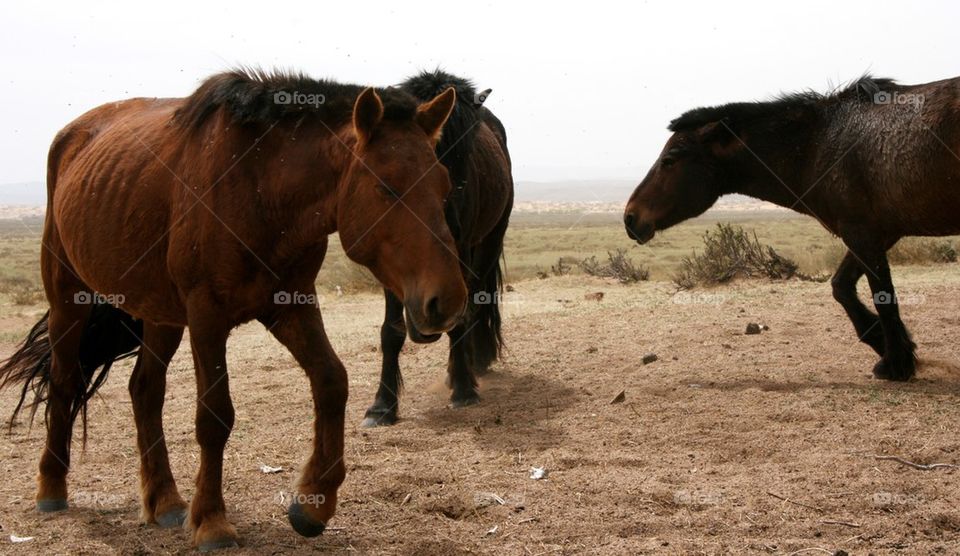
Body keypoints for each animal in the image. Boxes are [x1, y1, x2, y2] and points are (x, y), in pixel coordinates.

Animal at [0, 68, 469, 550]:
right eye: (386, 186)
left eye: (444, 186)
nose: (448, 302)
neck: (258, 185)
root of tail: (72, 135)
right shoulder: (207, 316)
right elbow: (215, 415)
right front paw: (211, 521)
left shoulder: (292, 305)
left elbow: (331, 381)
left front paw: (313, 504)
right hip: (67, 298)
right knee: (64, 380)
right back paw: (52, 488)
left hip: (161, 315)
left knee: (145, 391)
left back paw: (165, 501)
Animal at [360, 71, 513, 427]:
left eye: (466, 151)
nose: (448, 223)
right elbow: (392, 330)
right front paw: (382, 405)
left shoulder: (463, 254)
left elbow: (462, 315)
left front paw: (463, 389)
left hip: (489, 243)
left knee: (478, 302)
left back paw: (471, 365)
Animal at [624, 75, 960, 382]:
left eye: (670, 160)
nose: (630, 218)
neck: (820, 142)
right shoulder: (878, 234)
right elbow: (842, 287)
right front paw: (889, 346)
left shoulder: (862, 234)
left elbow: (883, 298)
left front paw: (896, 364)